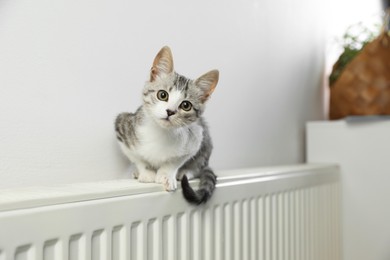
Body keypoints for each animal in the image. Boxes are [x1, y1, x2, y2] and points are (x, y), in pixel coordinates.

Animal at [115, 46, 219, 205]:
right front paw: (146, 172)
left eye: (186, 105)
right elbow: (137, 158)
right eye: (162, 95)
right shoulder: (123, 127)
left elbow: (176, 161)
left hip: (205, 138)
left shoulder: (195, 138)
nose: (170, 111)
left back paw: (186, 172)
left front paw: (166, 175)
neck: (161, 132)